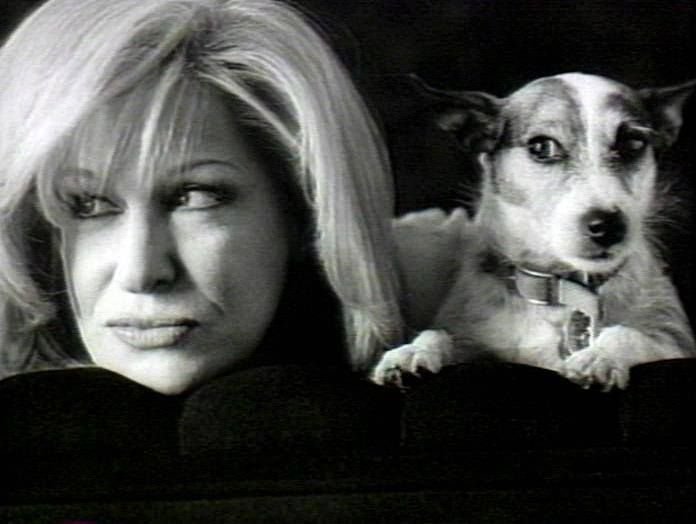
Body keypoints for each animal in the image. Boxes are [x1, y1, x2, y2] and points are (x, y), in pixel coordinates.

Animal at [376, 72, 696, 388]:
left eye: (633, 143)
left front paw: (599, 356)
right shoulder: (474, 338)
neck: (560, 289)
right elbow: (440, 334)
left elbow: (628, 334)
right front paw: (413, 351)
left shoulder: (675, 339)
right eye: (542, 146)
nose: (608, 226)